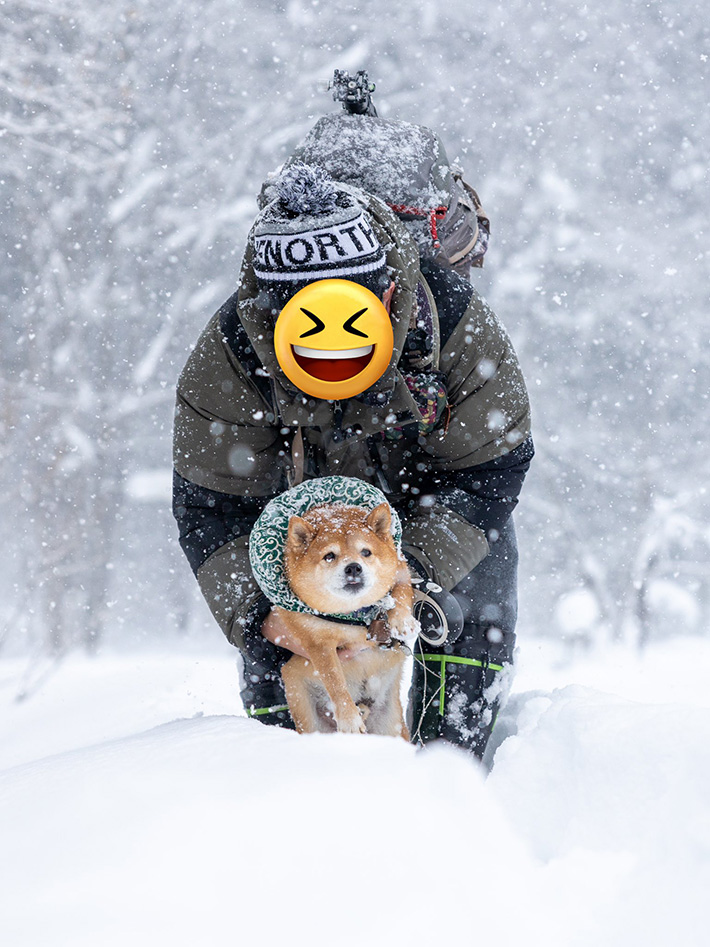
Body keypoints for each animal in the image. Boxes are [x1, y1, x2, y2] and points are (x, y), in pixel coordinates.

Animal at [272, 500, 418, 736]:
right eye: (329, 556)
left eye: (366, 552)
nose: (353, 567)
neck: (354, 611)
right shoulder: (318, 644)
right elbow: (335, 681)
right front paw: (349, 719)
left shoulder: (400, 568)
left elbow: (401, 592)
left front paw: (402, 620)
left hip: (390, 726)